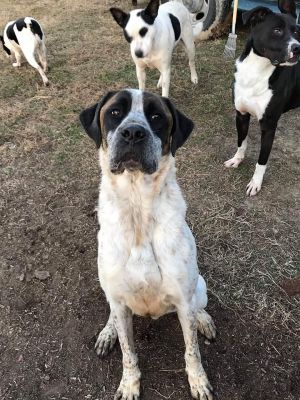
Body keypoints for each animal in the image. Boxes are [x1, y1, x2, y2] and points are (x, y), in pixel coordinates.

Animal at [79, 88, 216, 400]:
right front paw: (129, 384)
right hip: (111, 294)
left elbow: (192, 351)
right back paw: (107, 332)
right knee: (113, 314)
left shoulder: (183, 300)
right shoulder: (118, 299)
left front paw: (198, 381)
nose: (132, 132)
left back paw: (204, 319)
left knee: (198, 306)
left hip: (198, 288)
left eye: (156, 117)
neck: (137, 207)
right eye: (115, 112)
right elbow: (128, 352)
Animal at [225, 0, 300, 195]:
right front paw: (237, 160)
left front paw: (255, 183)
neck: (257, 70)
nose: (298, 48)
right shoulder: (241, 115)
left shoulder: (268, 125)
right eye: (277, 30)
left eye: (296, 31)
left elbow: (262, 160)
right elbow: (241, 141)